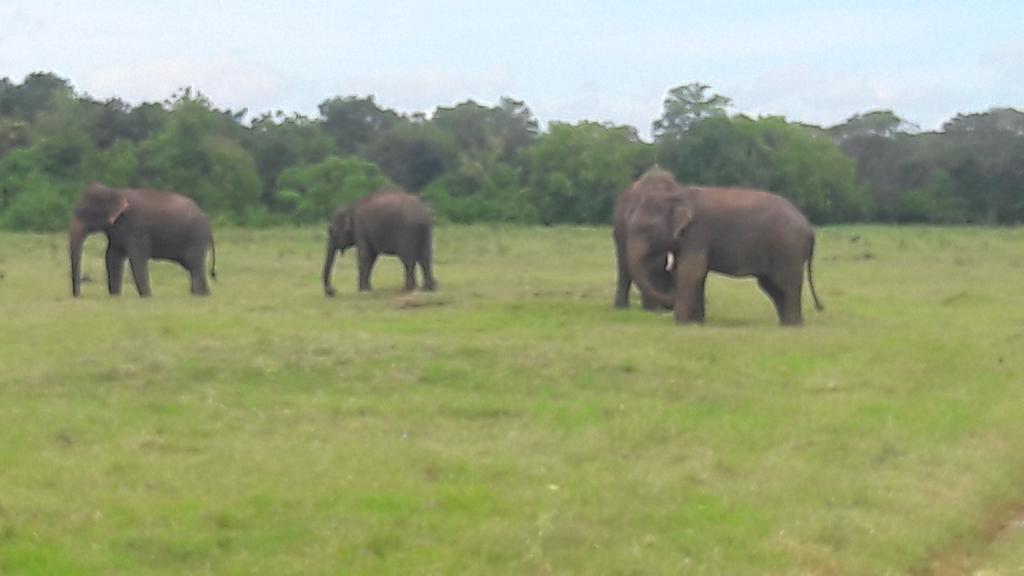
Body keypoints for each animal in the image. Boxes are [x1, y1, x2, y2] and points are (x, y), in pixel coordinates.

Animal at [68, 182, 216, 297]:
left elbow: (137, 257)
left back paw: (197, 294)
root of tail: (208, 224)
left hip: (196, 238)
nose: (79, 295)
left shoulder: (135, 227)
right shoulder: (116, 232)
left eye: (83, 212)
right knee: (193, 266)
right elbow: (112, 256)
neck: (114, 191)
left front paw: (147, 296)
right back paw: (204, 294)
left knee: (194, 264)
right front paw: (115, 296)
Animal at [614, 168, 823, 325]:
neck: (677, 195)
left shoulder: (698, 232)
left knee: (785, 282)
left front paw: (681, 323)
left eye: (646, 229)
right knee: (771, 285)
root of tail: (809, 228)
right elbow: (695, 273)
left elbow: (691, 271)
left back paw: (793, 326)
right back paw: (786, 324)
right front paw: (695, 323)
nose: (668, 305)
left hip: (788, 248)